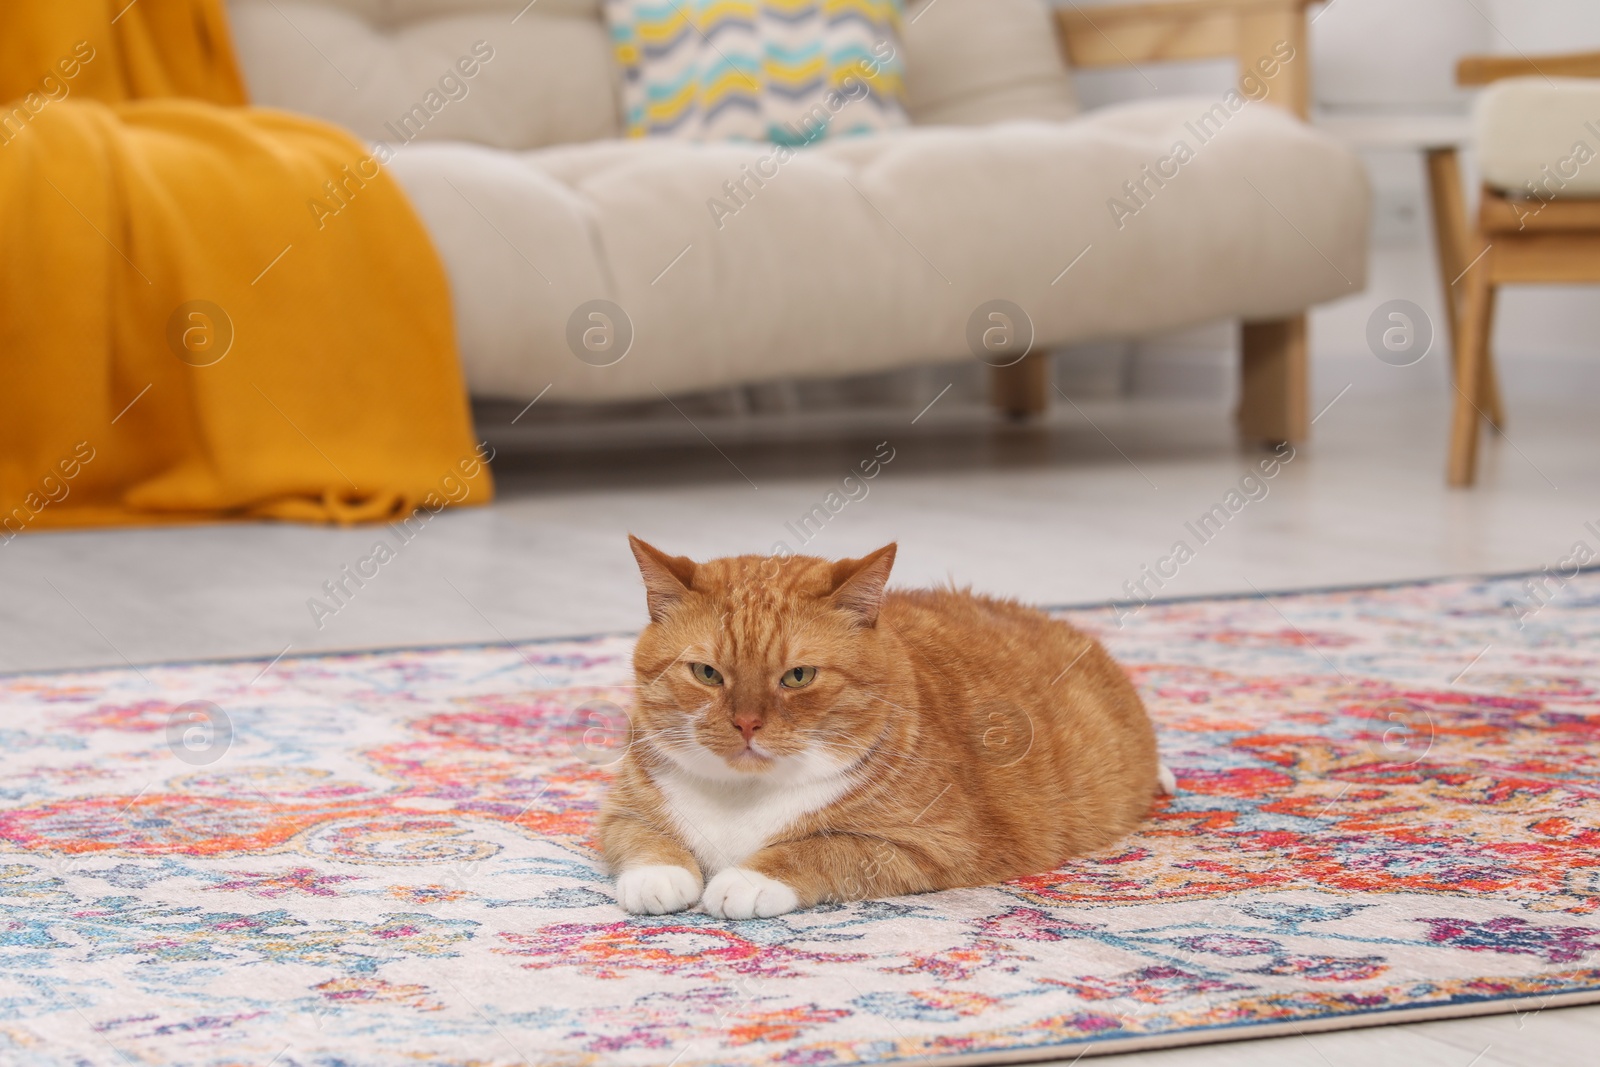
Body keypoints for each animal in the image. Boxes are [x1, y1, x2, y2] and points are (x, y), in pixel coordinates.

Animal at [595, 537, 1171, 921]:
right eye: (707, 673)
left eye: (798, 676)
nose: (746, 723)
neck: (744, 796)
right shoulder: (622, 809)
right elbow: (641, 837)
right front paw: (660, 874)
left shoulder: (936, 844)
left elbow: (824, 848)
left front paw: (749, 879)